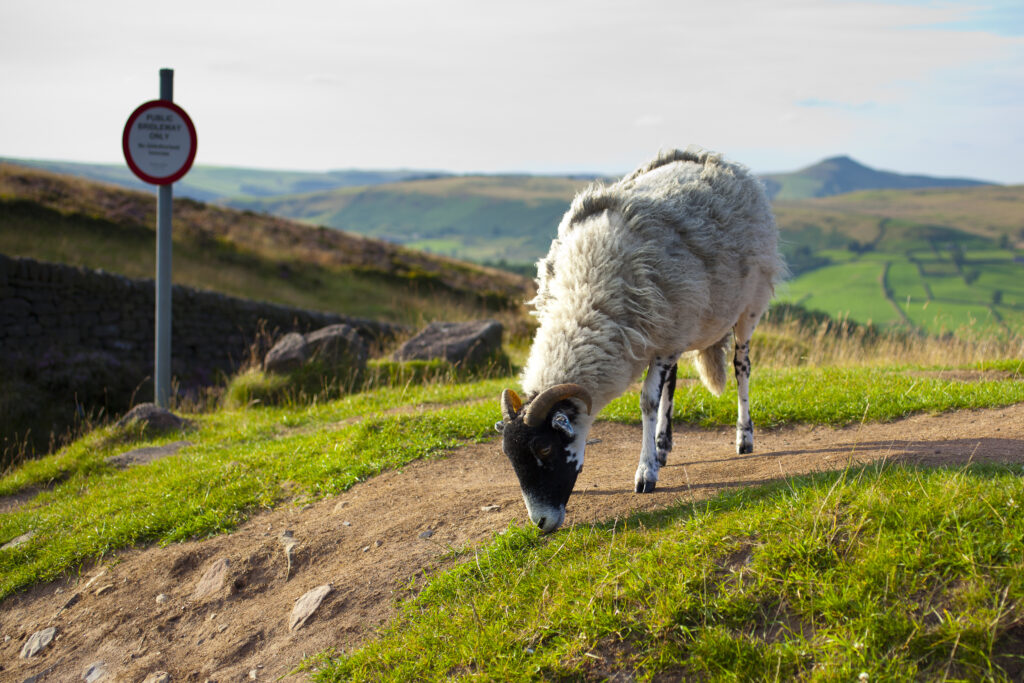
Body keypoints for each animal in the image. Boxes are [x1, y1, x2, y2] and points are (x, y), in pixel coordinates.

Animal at [495, 147, 786, 533]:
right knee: (673, 382)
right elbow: (659, 394)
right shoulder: (667, 337)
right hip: (682, 325)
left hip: (748, 306)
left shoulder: (664, 340)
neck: (584, 297)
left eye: (544, 449)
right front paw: (654, 457)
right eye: (508, 456)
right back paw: (663, 445)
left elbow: (648, 401)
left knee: (742, 365)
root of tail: (725, 162)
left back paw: (743, 437)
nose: (541, 522)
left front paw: (646, 474)